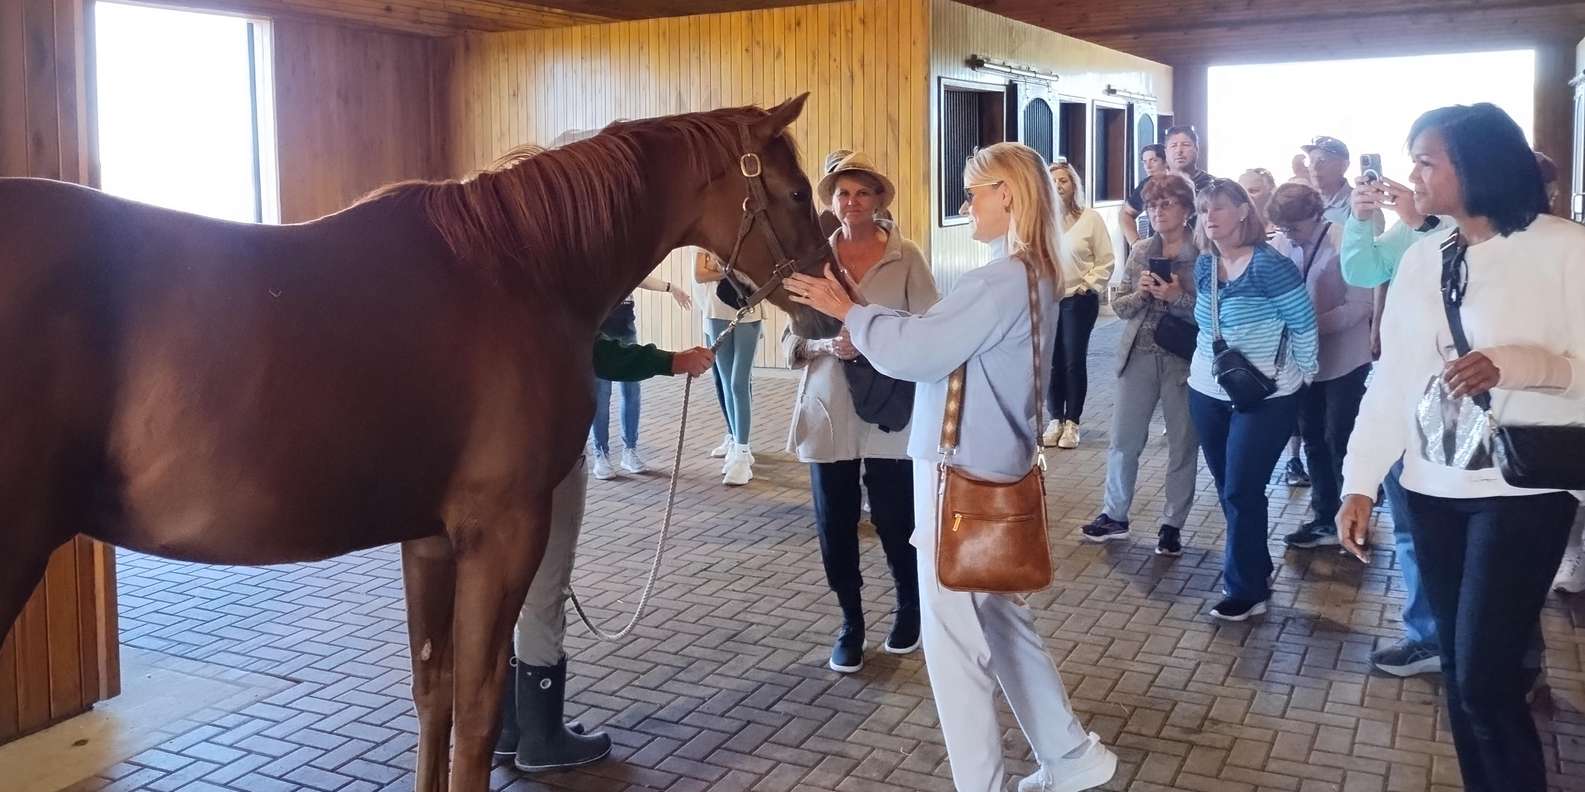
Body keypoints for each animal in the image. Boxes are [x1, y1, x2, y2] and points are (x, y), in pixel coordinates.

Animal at [0, 93, 838, 791]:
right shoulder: (502, 533)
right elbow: (478, 708)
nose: (828, 312)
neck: (519, 268)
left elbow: (433, 694)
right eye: (798, 194)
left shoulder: (429, 540)